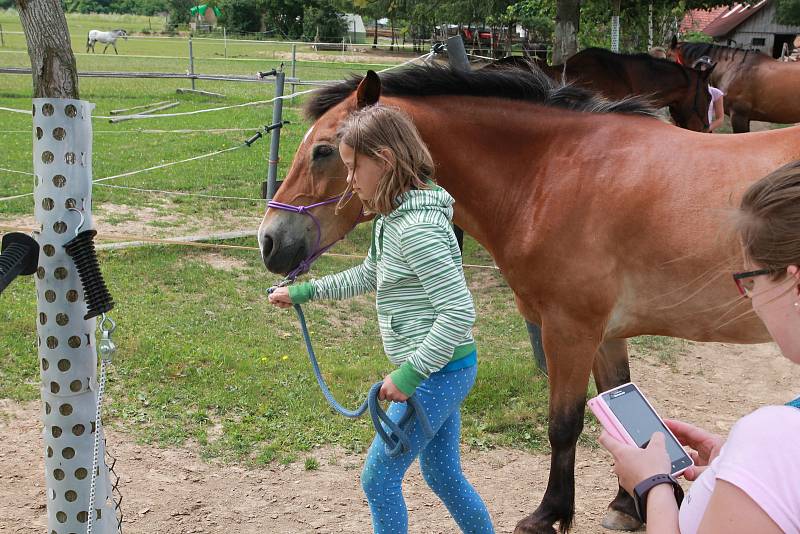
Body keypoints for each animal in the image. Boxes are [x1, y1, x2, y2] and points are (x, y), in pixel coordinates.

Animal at [258, 65, 800, 532]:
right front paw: (632, 502)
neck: (551, 174)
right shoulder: (604, 336)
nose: (269, 241)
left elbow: (563, 424)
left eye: (324, 151)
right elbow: (615, 400)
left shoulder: (569, 330)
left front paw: (548, 515)